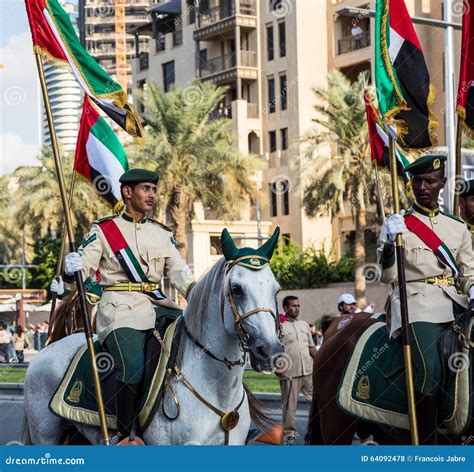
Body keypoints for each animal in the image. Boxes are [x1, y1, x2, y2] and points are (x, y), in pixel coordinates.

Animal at [22, 253, 284, 444]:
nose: (270, 350)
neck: (216, 387)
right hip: (45, 434)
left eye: (276, 289)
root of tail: (44, 351)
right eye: (237, 289)